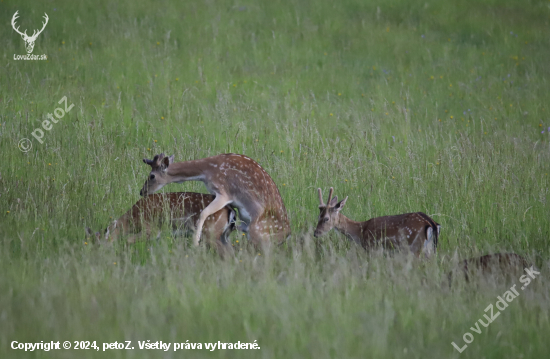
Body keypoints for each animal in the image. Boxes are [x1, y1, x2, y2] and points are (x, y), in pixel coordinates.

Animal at [85, 193, 236, 255]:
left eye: (100, 244)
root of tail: (230, 211)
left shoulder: (151, 229)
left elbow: (127, 240)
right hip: (223, 235)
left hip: (211, 232)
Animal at [140, 153, 292, 249]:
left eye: (152, 176)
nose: (142, 192)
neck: (207, 171)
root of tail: (286, 235)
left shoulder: (223, 192)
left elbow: (204, 212)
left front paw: (195, 241)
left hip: (258, 232)